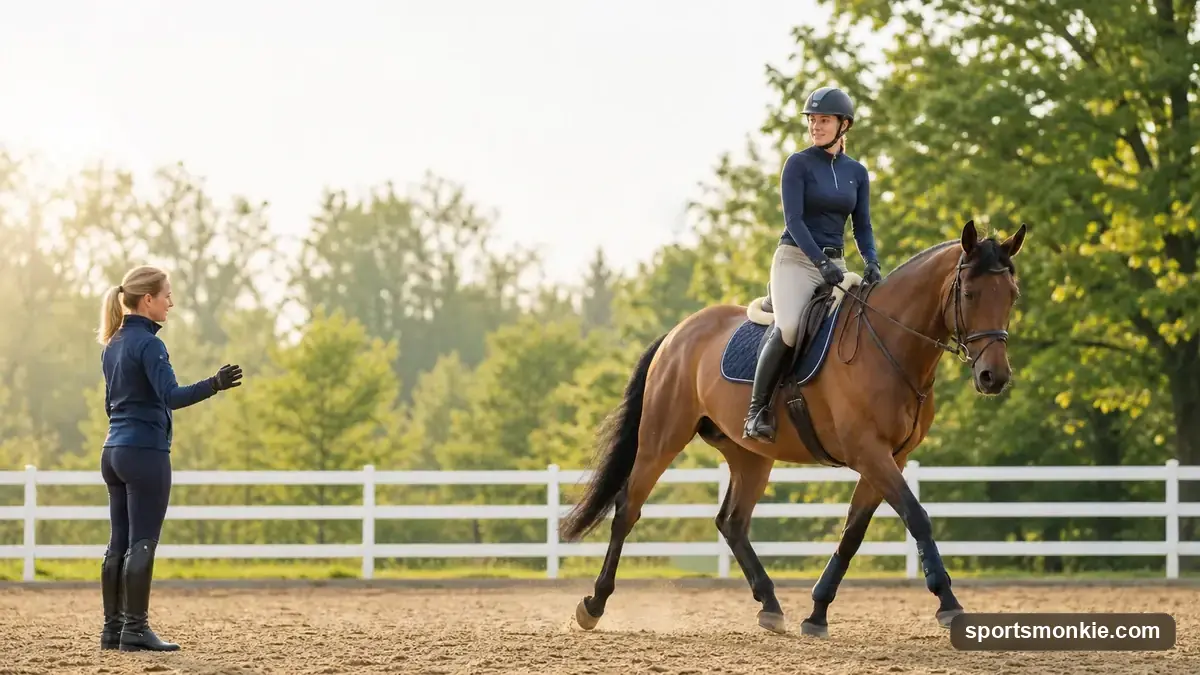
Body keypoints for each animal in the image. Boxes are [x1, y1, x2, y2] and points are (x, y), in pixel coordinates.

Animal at [558, 219, 1026, 639]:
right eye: (969, 293)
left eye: (1012, 296)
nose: (994, 377)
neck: (890, 344)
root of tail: (677, 333)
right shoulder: (870, 453)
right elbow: (918, 517)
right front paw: (948, 603)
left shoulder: (889, 457)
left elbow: (852, 534)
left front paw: (817, 613)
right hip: (661, 439)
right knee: (627, 509)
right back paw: (594, 604)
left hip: (749, 455)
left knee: (732, 522)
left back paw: (770, 605)